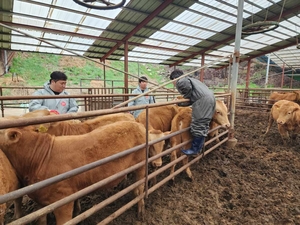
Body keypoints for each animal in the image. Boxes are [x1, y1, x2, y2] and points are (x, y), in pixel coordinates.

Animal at [0, 122, 148, 224]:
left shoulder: (64, 197)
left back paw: (141, 214)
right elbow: (41, 220)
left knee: (141, 186)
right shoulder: (40, 199)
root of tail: (139, 125)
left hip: (141, 163)